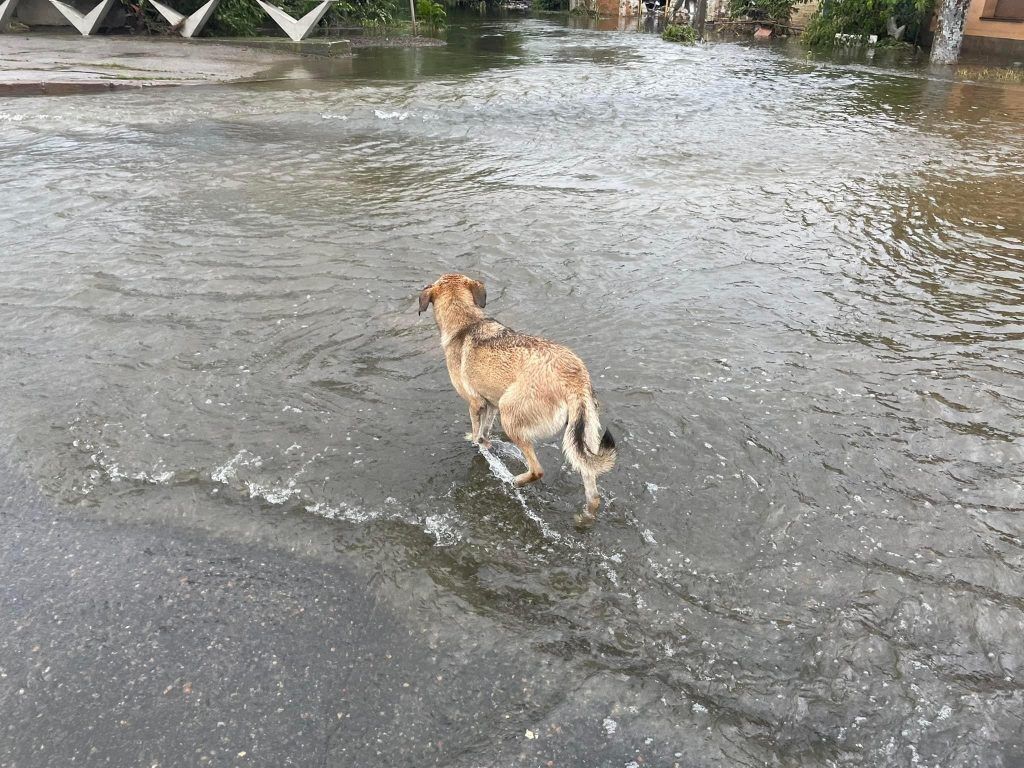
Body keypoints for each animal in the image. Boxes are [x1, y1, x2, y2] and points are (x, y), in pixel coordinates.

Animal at [417, 274, 614, 528]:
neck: (466, 322)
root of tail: (573, 380)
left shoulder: (476, 403)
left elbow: (477, 429)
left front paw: (476, 442)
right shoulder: (490, 403)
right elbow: (485, 431)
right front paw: (485, 443)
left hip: (510, 414)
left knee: (537, 470)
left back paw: (515, 481)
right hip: (584, 433)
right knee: (592, 489)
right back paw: (585, 517)